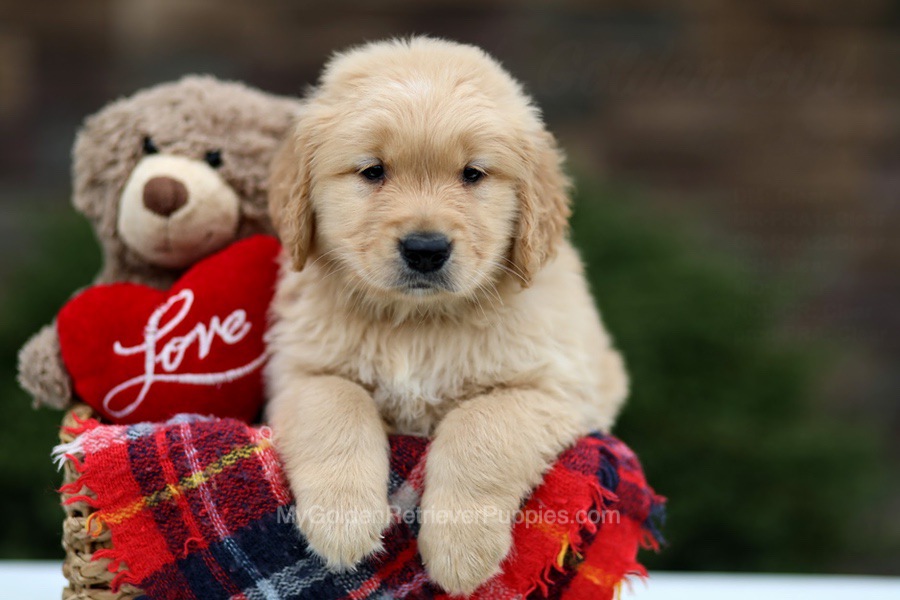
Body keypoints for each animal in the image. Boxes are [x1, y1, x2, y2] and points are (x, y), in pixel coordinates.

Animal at [268, 37, 624, 596]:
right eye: (373, 171)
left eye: (473, 174)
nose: (425, 249)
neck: (418, 323)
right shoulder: (297, 372)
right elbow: (337, 404)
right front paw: (342, 523)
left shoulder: (557, 386)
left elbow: (482, 426)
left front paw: (462, 551)